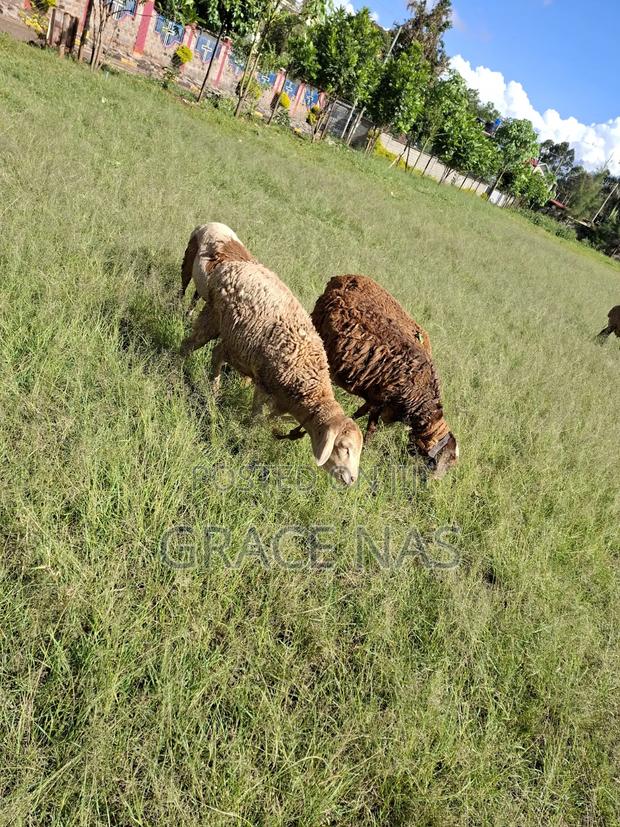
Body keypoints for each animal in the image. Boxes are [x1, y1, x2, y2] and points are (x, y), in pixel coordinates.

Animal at [179, 224, 363, 486]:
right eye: (344, 447)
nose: (351, 480)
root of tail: (231, 265)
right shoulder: (265, 384)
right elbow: (256, 418)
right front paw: (247, 438)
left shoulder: (278, 398)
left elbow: (268, 420)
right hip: (212, 316)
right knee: (189, 344)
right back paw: (174, 370)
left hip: (236, 340)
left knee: (216, 353)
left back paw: (213, 391)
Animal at [311, 274, 458, 479]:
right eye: (437, 461)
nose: (432, 482)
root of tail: (343, 277)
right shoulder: (381, 401)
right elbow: (371, 427)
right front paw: (365, 447)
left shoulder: (376, 398)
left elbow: (360, 413)